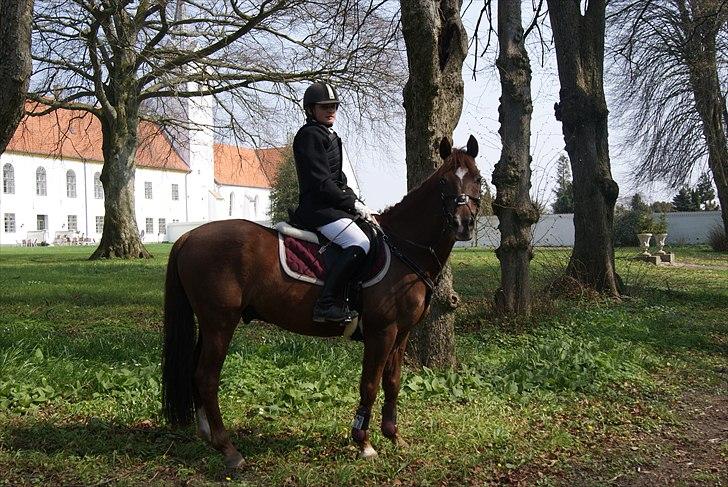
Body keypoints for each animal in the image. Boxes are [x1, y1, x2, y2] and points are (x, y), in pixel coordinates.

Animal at [162, 135, 482, 472]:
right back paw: (228, 448)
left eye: (477, 178)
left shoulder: (401, 333)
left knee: (195, 370)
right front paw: (364, 443)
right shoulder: (381, 332)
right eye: (444, 181)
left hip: (208, 324)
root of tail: (189, 237)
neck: (403, 247)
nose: (464, 224)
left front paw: (393, 435)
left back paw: (208, 435)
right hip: (220, 323)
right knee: (206, 377)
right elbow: (369, 383)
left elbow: (392, 382)